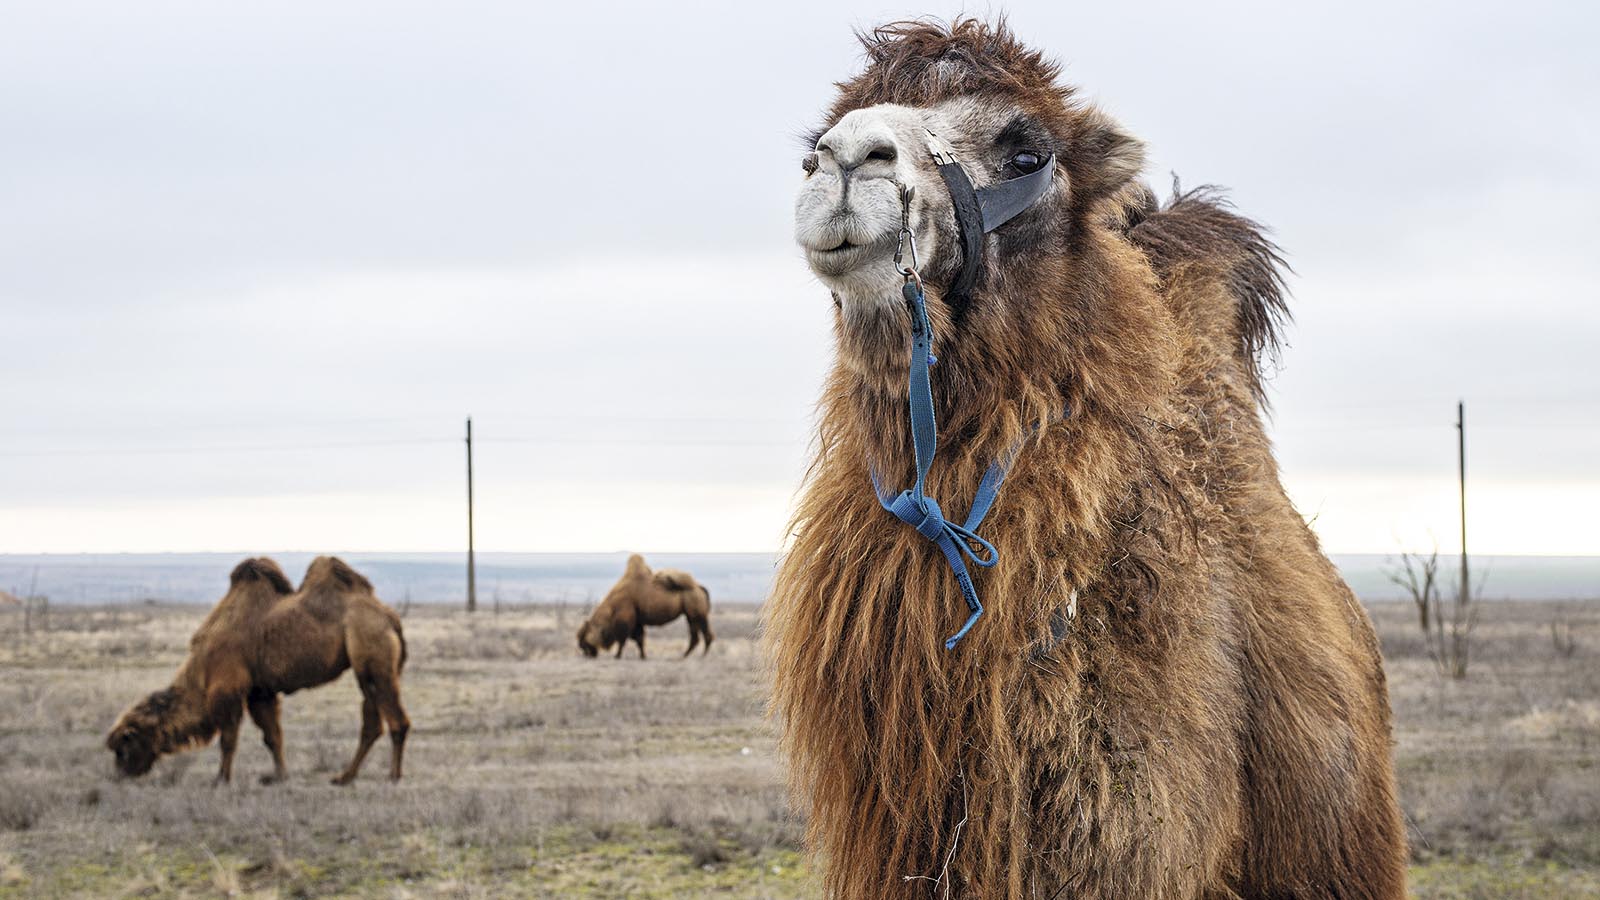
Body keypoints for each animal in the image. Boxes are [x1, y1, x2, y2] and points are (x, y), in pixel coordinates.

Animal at [104, 557, 409, 781]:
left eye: (124, 747)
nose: (119, 777)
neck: (201, 669)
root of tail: (390, 617)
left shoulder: (228, 688)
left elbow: (228, 739)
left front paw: (221, 780)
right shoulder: (259, 691)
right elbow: (272, 736)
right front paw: (280, 776)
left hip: (372, 653)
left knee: (395, 719)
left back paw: (392, 777)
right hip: (366, 667)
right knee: (372, 721)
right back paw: (345, 777)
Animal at [576, 550, 713, 656]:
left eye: (583, 637)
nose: (585, 652)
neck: (612, 607)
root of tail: (699, 588)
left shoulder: (625, 621)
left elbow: (623, 640)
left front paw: (617, 656)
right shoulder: (637, 622)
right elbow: (639, 640)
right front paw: (643, 657)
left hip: (698, 615)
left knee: (706, 635)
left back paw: (699, 656)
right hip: (690, 616)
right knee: (695, 637)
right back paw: (684, 656)